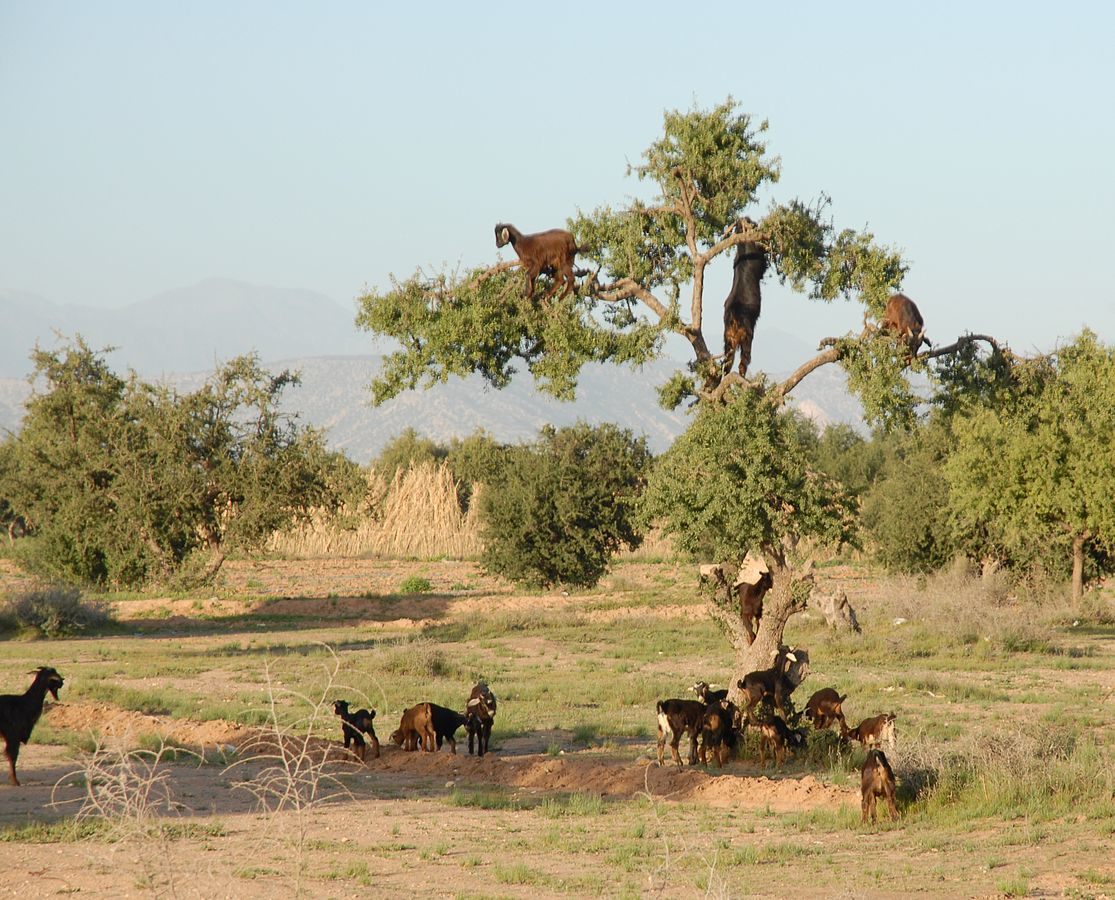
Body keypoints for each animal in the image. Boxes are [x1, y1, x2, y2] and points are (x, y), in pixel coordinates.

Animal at [722, 218, 767, 379]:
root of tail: (734, 317)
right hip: (747, 334)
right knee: (745, 357)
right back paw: (742, 374)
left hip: (728, 338)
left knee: (727, 361)